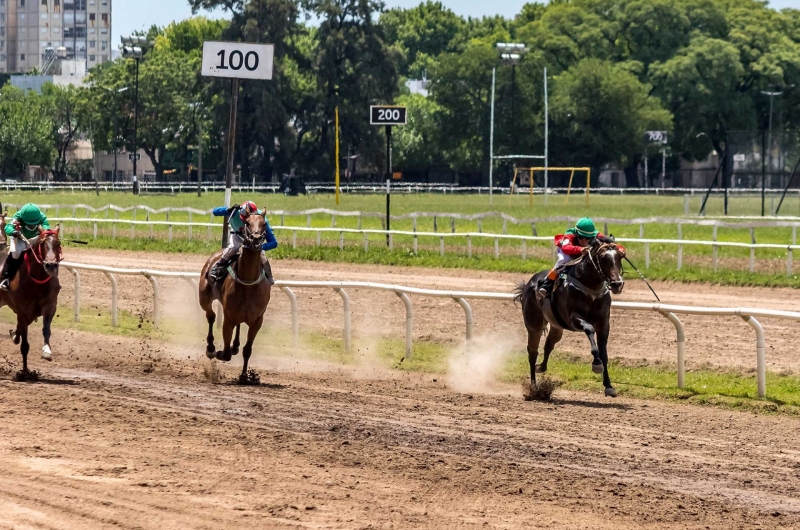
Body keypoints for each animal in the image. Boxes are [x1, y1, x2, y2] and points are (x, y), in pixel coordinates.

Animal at [0, 223, 63, 376]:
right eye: (42, 243)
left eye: (58, 243)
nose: (51, 265)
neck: (37, 279)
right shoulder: (22, 311)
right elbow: (24, 345)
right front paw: (24, 372)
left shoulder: (49, 306)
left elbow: (46, 329)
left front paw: (47, 351)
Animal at [199, 212, 272, 382]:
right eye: (247, 223)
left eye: (264, 224)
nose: (256, 239)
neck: (248, 283)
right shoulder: (229, 318)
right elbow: (225, 354)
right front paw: (218, 352)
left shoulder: (257, 321)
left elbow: (247, 350)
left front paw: (245, 376)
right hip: (204, 297)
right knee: (210, 316)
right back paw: (211, 347)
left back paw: (235, 346)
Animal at [516, 239, 628, 396]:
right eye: (603, 258)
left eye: (619, 257)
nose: (617, 284)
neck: (590, 289)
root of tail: (528, 284)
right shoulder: (573, 318)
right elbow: (589, 329)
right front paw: (596, 364)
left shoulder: (604, 323)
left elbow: (604, 353)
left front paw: (609, 386)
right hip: (534, 325)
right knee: (532, 352)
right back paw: (534, 388)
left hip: (556, 326)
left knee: (549, 345)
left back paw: (541, 367)